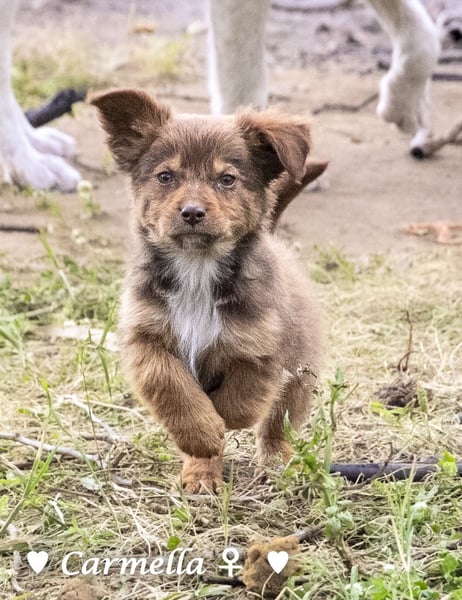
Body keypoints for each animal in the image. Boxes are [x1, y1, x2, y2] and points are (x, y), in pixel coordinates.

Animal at [91, 88, 325, 493]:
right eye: (165, 176)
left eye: (227, 179)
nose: (192, 212)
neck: (197, 270)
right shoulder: (145, 339)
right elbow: (172, 388)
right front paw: (202, 435)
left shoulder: (261, 348)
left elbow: (240, 401)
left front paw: (221, 421)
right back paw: (200, 474)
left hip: (299, 372)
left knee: (278, 424)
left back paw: (277, 463)